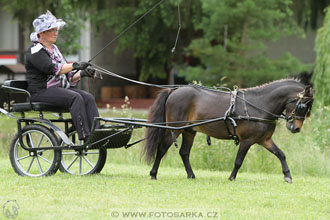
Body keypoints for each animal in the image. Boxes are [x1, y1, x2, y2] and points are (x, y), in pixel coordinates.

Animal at [144, 78, 314, 182]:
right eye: (302, 106)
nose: (296, 128)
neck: (259, 105)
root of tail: (174, 90)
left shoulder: (264, 140)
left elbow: (281, 154)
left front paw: (288, 176)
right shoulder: (247, 140)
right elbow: (238, 161)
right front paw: (232, 178)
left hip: (189, 131)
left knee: (184, 153)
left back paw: (191, 175)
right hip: (174, 128)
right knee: (161, 149)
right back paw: (153, 174)